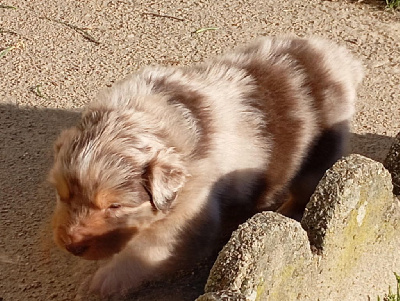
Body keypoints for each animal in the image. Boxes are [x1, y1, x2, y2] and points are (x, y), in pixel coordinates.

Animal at [48, 35, 364, 296]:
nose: (71, 245)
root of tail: (336, 56)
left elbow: (144, 251)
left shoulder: (187, 218)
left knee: (305, 188)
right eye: (62, 195)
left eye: (115, 206)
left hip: (322, 151)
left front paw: (101, 282)